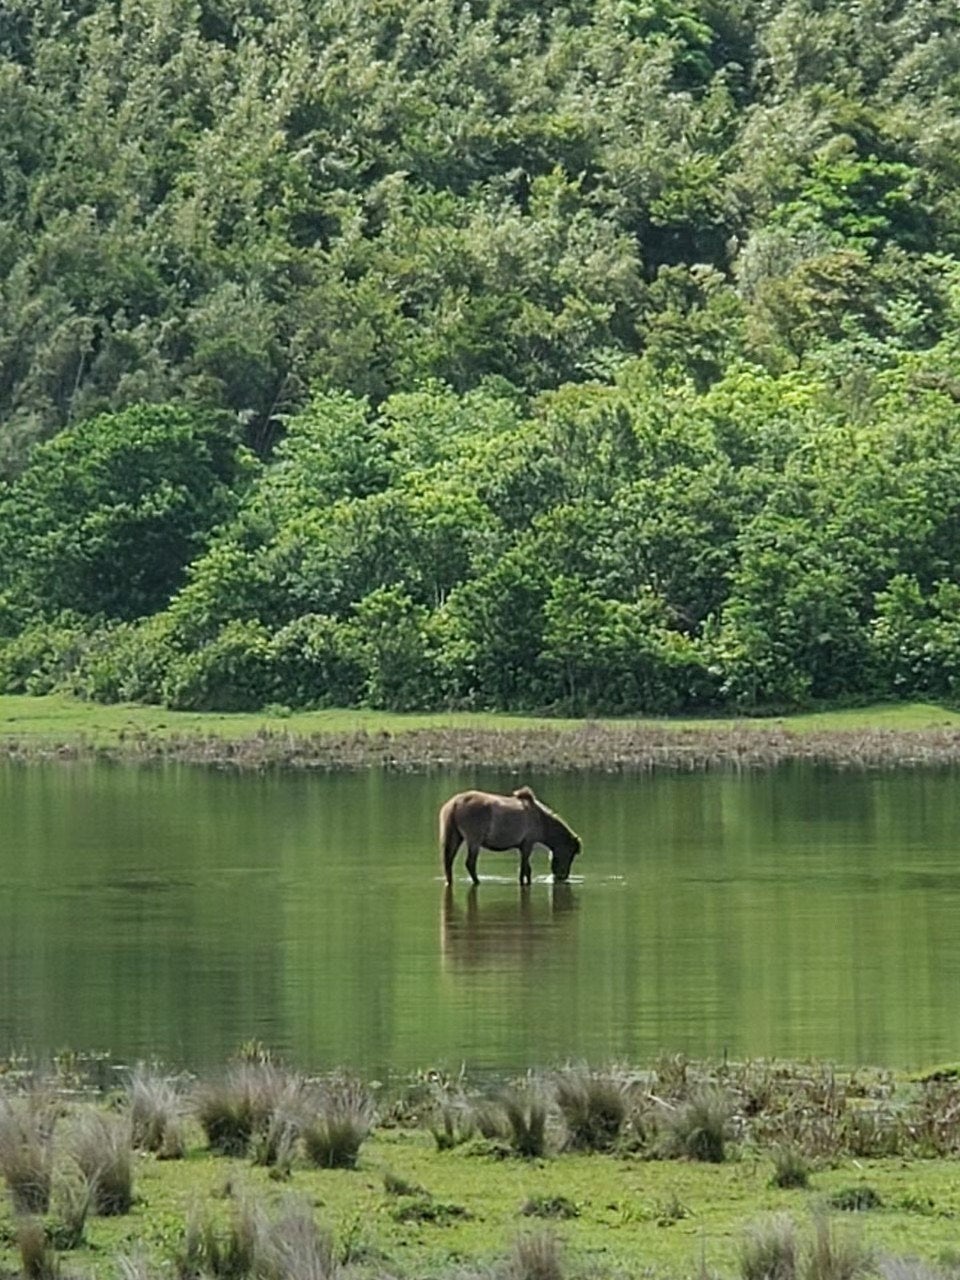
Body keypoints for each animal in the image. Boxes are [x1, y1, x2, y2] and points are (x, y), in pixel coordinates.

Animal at [440, 783, 583, 885]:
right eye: (570, 854)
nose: (562, 877)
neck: (541, 820)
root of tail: (455, 803)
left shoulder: (523, 846)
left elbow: (525, 870)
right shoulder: (528, 844)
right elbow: (525, 869)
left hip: (456, 837)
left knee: (449, 861)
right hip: (474, 841)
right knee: (470, 863)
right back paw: (477, 881)